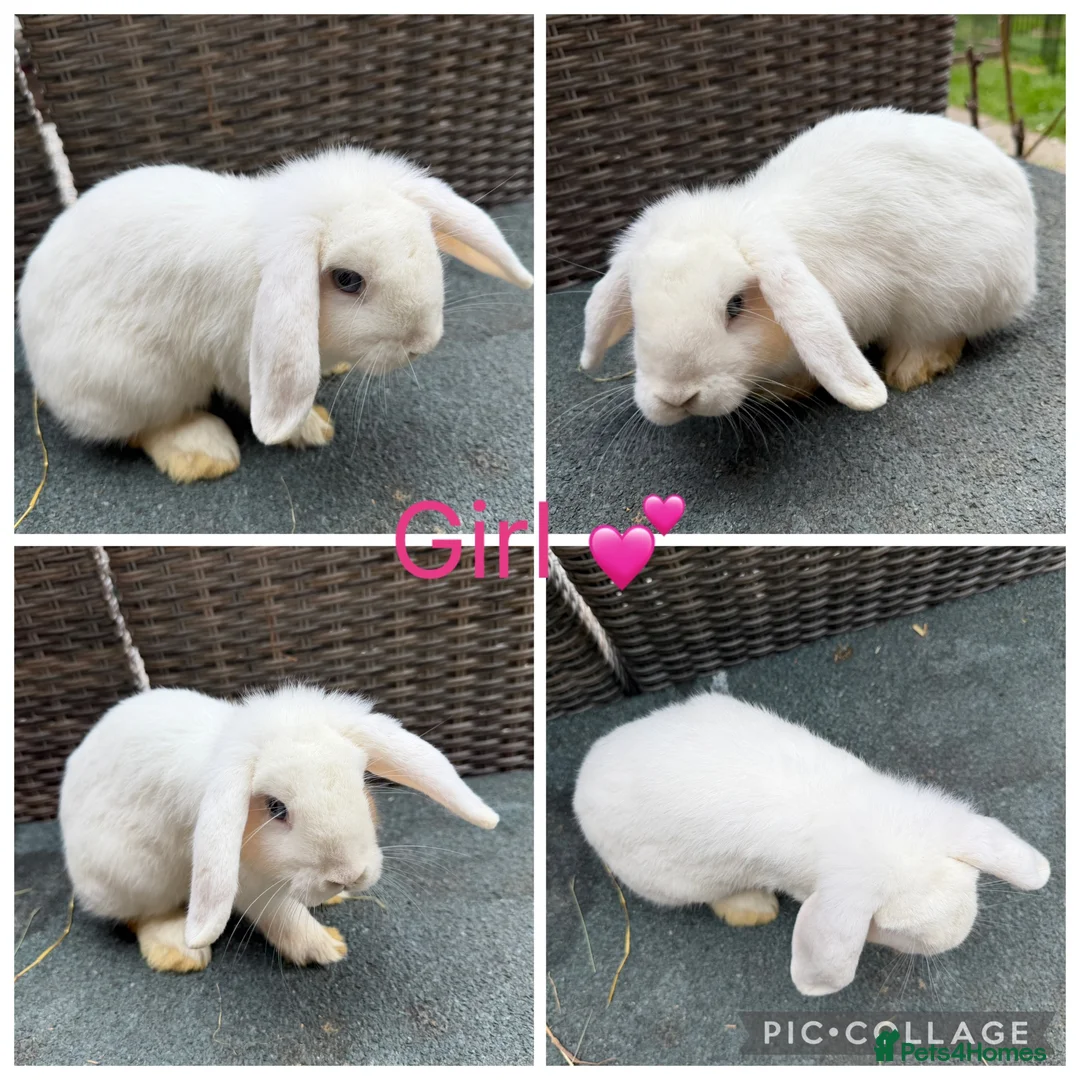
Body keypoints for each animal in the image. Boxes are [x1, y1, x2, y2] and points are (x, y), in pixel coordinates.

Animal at [17, 147, 533, 482]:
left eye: (425, 237)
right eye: (347, 280)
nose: (422, 343)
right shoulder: (241, 354)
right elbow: (252, 394)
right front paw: (311, 429)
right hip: (136, 377)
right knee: (144, 426)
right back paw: (204, 454)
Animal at [58, 684, 499, 973]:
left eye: (360, 782)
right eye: (276, 807)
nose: (348, 876)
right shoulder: (244, 880)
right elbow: (282, 915)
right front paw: (325, 947)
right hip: (134, 872)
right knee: (140, 915)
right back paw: (179, 953)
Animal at [573, 692, 1050, 996]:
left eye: (971, 881)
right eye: (895, 931)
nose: (956, 936)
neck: (858, 821)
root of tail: (583, 781)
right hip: (675, 880)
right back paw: (753, 909)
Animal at [579, 108, 1037, 426]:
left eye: (735, 306)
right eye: (638, 313)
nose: (678, 398)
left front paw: (782, 391)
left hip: (958, 293)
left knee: (941, 333)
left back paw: (911, 368)